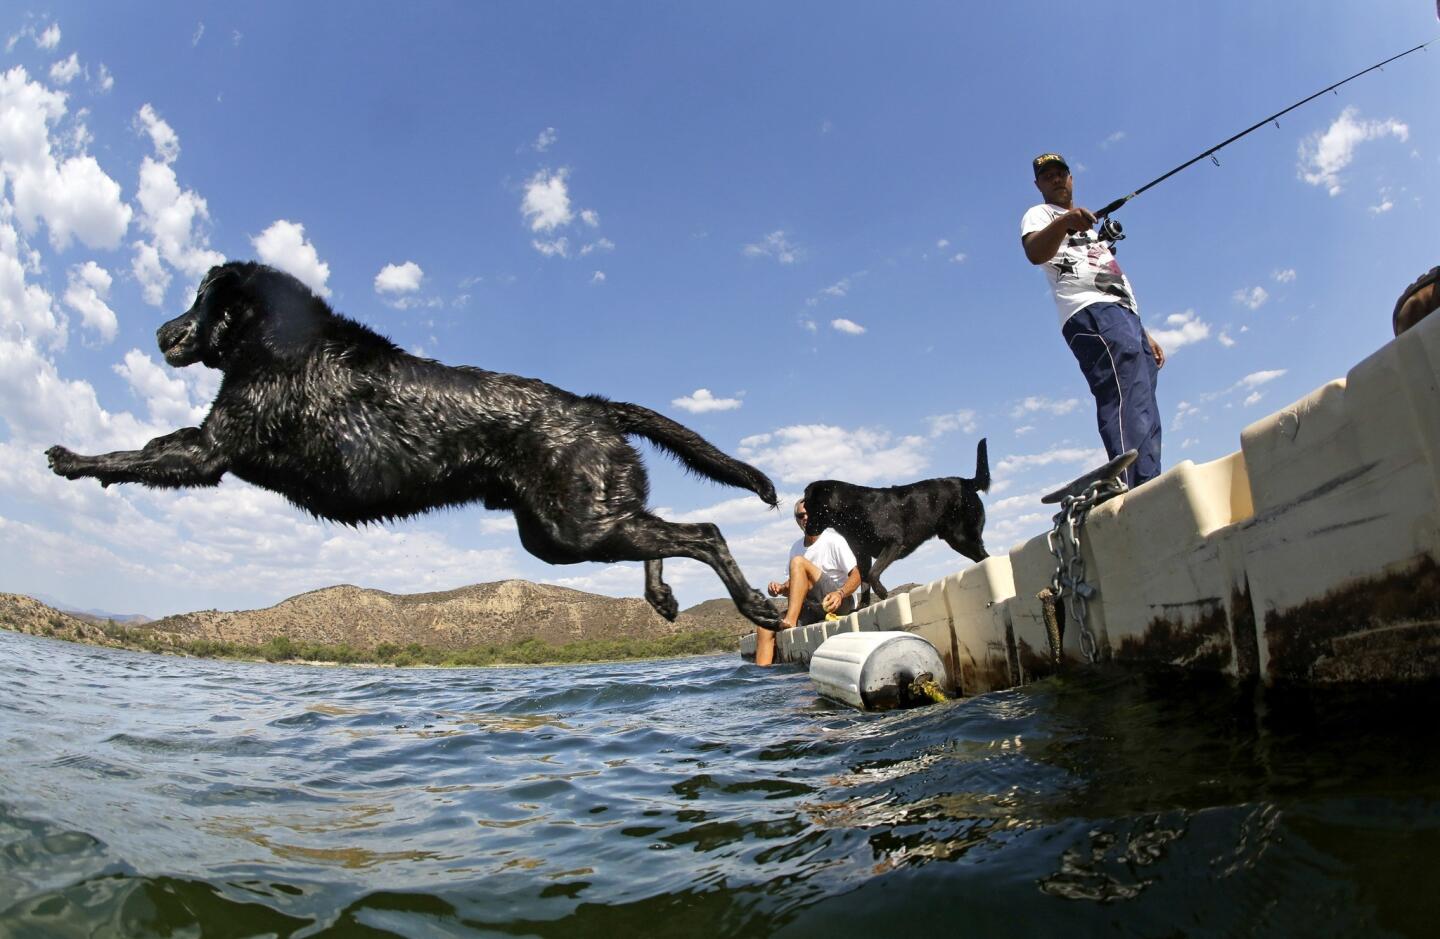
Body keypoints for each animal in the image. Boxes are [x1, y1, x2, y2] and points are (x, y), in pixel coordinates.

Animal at [45, 263, 783, 627]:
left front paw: (74, 460)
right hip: (561, 533)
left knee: (706, 531)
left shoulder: (209, 450)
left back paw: (757, 606)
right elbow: (142, 448)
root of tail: (595, 405)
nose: (159, 333)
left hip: (574, 527)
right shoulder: (210, 447)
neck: (278, 342)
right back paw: (662, 598)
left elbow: (134, 454)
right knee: (661, 532)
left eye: (201, 301)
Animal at [800, 440, 990, 607]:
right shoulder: (862, 555)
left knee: (986, 556)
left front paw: (882, 592)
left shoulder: (893, 543)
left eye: (808, 508)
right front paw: (863, 606)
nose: (806, 531)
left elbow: (872, 574)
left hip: (964, 537)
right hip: (957, 541)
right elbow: (864, 581)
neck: (854, 511)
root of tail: (966, 481)